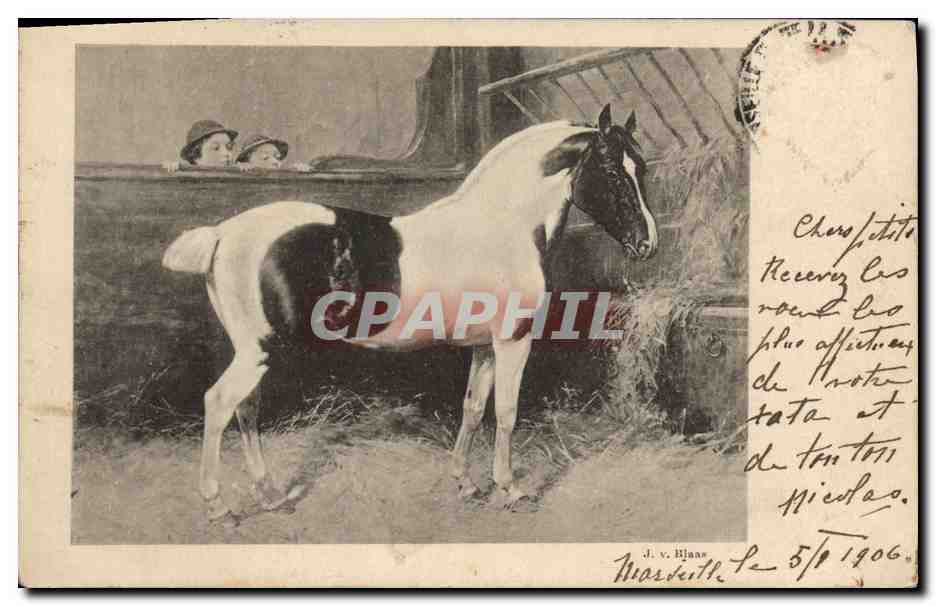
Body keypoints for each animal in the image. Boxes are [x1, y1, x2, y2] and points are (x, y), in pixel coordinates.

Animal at [162, 104, 658, 521]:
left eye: (642, 169)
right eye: (612, 171)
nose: (646, 244)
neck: (502, 222)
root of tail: (222, 234)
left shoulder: (484, 346)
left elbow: (472, 408)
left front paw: (465, 482)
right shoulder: (512, 341)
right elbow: (507, 413)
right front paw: (509, 488)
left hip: (255, 352)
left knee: (245, 409)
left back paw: (271, 494)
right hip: (261, 350)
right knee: (219, 403)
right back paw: (219, 506)